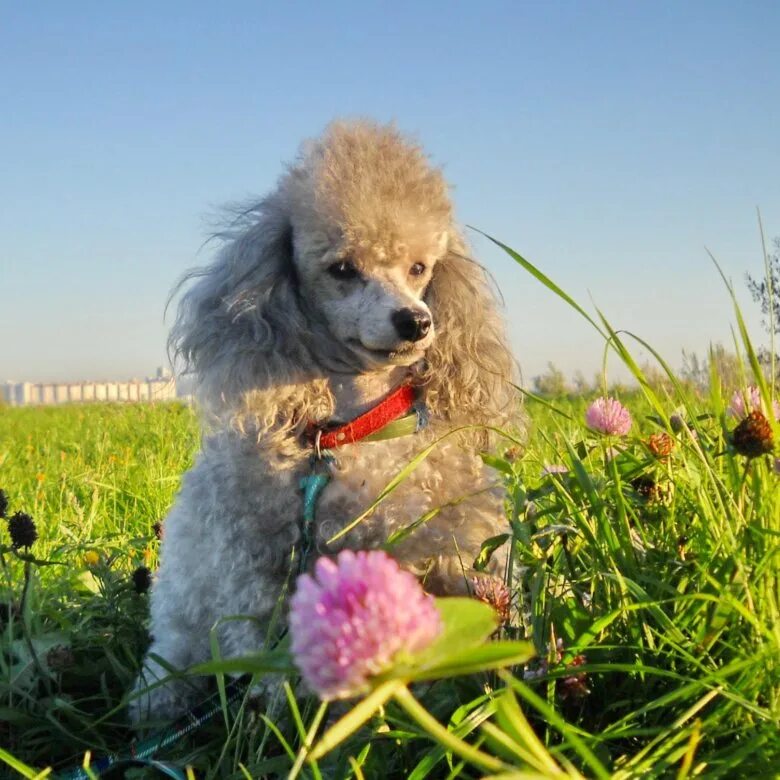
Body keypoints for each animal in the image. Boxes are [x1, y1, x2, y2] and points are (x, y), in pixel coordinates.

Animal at [132, 119, 520, 724]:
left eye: (419, 269)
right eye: (342, 270)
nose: (415, 321)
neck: (353, 428)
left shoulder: (443, 544)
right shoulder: (256, 573)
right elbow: (273, 662)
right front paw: (297, 723)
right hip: (182, 627)